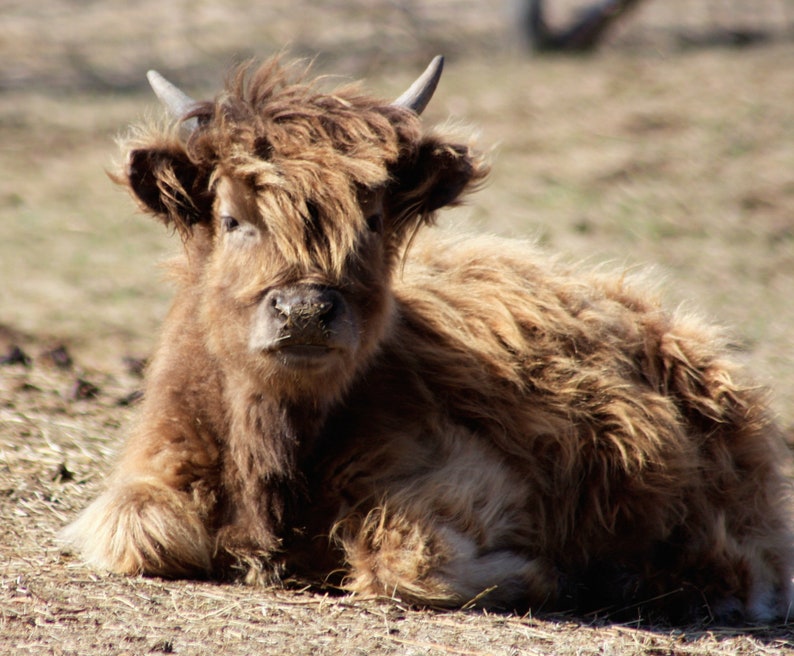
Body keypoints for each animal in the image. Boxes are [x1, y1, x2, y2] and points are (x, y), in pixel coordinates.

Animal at [62, 55, 793, 625]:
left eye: (373, 219)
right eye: (232, 219)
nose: (305, 311)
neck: (271, 450)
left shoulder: (472, 477)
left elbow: (411, 562)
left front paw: (556, 576)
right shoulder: (151, 473)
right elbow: (139, 532)